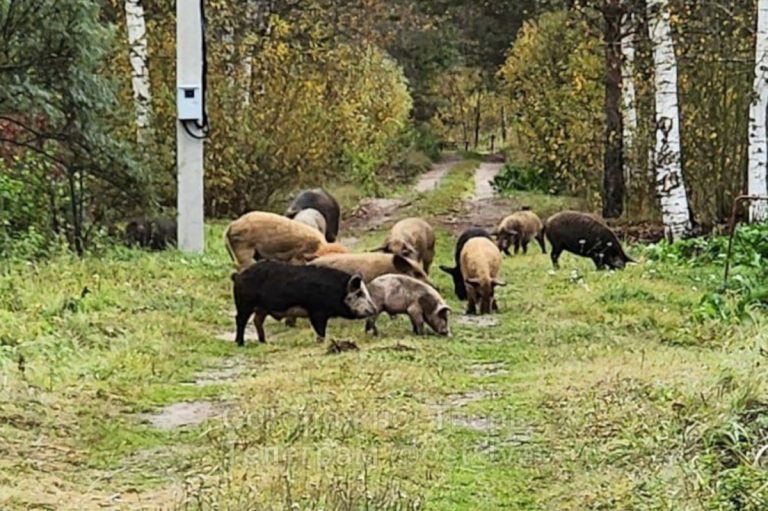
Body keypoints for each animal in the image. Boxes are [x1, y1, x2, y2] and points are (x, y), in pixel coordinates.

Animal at [234, 262, 378, 346]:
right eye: (359, 293)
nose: (374, 309)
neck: (338, 292)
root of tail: (238, 276)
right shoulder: (317, 312)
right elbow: (320, 330)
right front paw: (322, 343)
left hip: (262, 308)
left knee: (257, 320)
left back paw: (264, 342)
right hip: (244, 303)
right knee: (240, 319)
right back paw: (240, 343)